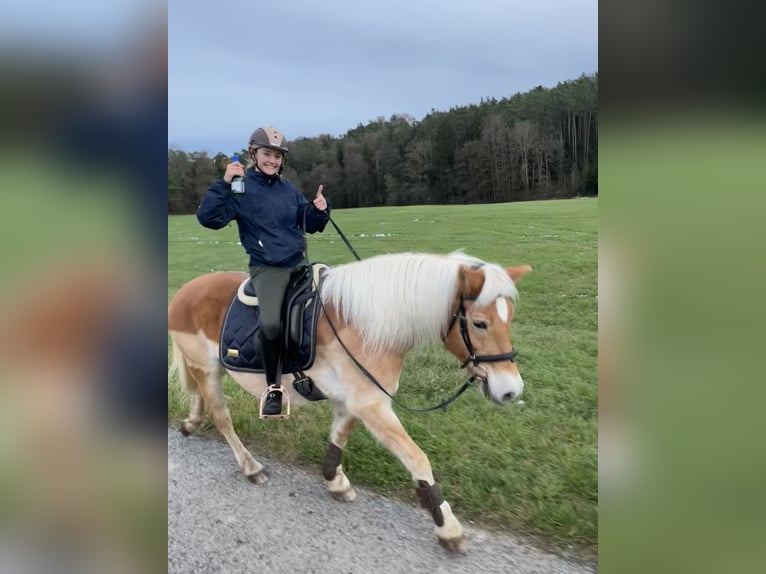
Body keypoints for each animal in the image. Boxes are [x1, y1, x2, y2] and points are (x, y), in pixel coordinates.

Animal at [166, 251, 536, 552]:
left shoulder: (354, 401)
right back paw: (250, 466)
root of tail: (184, 292)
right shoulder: (374, 406)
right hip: (207, 369)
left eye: (509, 318)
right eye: (479, 322)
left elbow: (339, 438)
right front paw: (448, 527)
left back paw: (190, 423)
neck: (369, 325)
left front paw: (335, 480)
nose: (510, 390)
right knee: (221, 415)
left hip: (204, 369)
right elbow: (417, 459)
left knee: (199, 397)